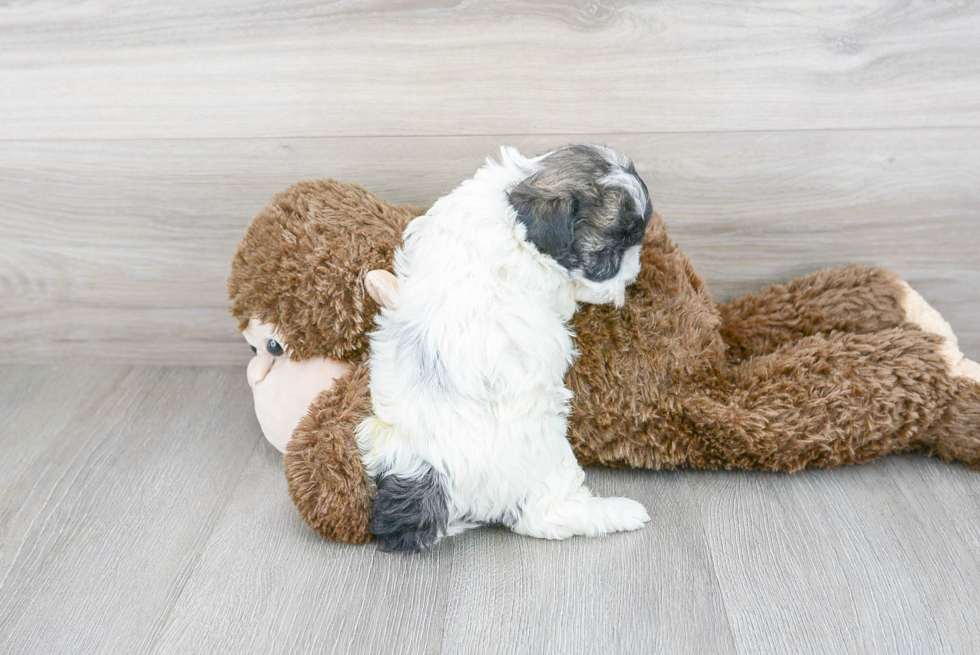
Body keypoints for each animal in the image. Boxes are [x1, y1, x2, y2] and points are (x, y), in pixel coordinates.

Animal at [358, 145, 652, 552]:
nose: (633, 278)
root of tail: (438, 474)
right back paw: (619, 513)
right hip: (549, 464)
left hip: (384, 440)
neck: (512, 213)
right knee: (546, 517)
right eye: (607, 255)